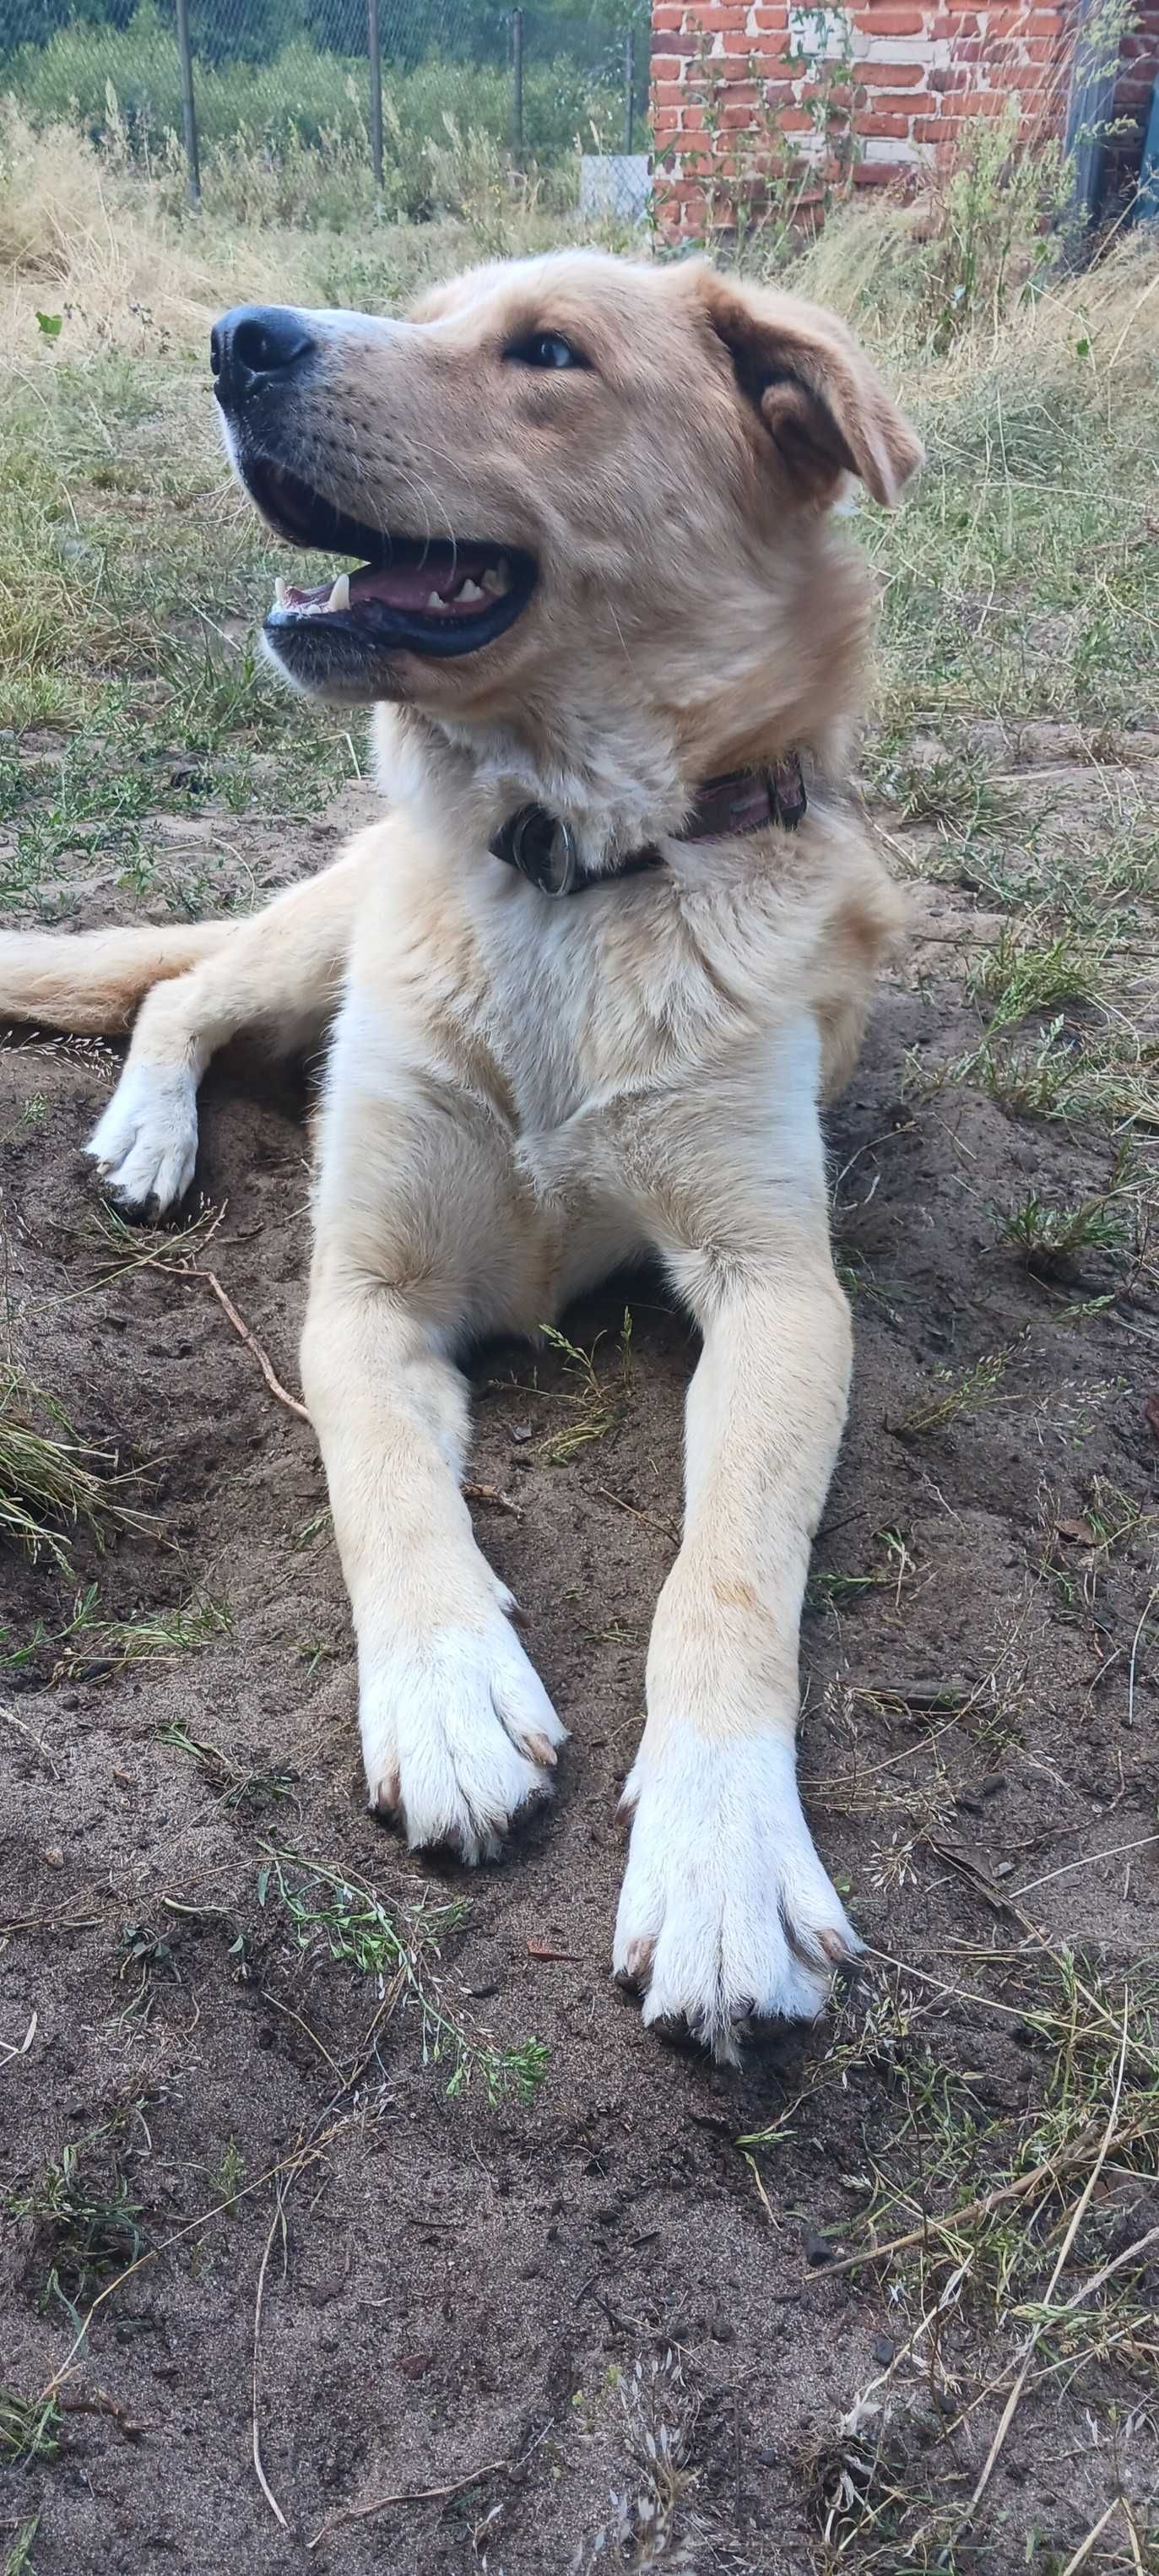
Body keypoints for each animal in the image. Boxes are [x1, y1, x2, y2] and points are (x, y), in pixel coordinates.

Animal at [0, 251, 922, 2060]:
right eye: (428, 314)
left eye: (545, 354)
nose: (236, 340)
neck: (573, 873)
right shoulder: (363, 1292)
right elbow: (383, 1489)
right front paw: (444, 1704)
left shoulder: (781, 1290)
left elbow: (727, 1576)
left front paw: (719, 1863)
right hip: (327, 934)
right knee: (185, 987)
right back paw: (146, 1135)